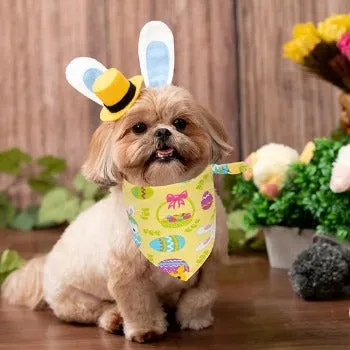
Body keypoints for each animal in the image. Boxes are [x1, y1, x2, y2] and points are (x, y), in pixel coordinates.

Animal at [2, 86, 234, 344]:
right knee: (99, 310)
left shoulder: (210, 265)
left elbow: (201, 297)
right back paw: (114, 319)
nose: (162, 131)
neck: (165, 190)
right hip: (74, 301)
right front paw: (146, 331)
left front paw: (196, 320)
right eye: (139, 127)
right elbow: (138, 305)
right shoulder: (126, 275)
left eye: (180, 123)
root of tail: (44, 266)